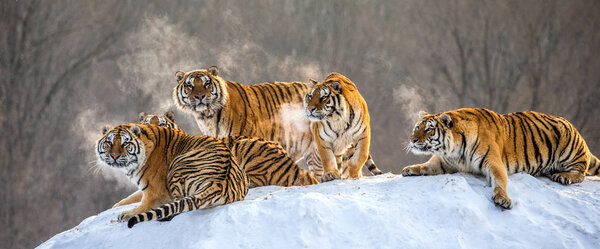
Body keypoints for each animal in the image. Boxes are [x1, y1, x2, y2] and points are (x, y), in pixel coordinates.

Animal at [97, 123, 247, 228]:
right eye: (109, 143)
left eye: (125, 143)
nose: (114, 156)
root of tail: (220, 183)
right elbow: (131, 197)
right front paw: (116, 206)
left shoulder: (156, 192)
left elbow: (143, 204)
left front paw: (126, 214)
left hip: (177, 166)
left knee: (177, 207)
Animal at [400, 108, 600, 209]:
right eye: (416, 127)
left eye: (428, 129)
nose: (412, 140)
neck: (453, 150)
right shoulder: (445, 162)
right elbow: (427, 165)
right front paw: (410, 169)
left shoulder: (493, 162)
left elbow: (499, 180)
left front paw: (503, 199)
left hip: (568, 145)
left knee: (581, 172)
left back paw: (563, 176)